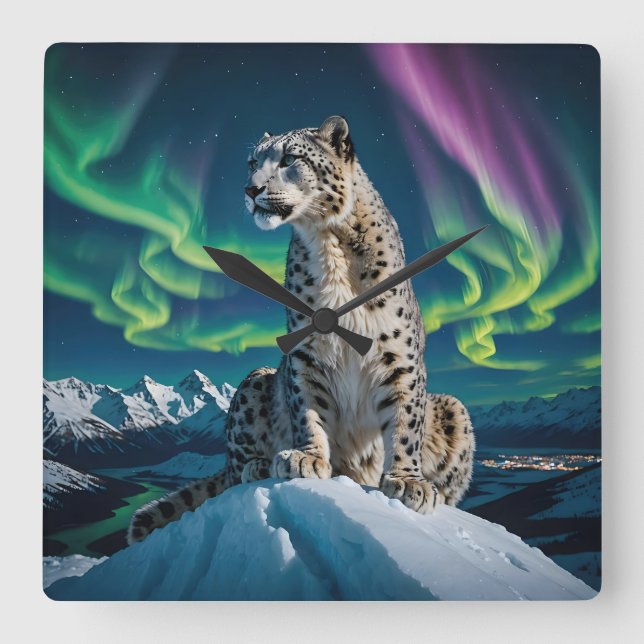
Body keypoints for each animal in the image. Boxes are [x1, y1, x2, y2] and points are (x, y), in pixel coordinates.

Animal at [127, 115, 475, 545]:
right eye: (251, 162)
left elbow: (406, 423)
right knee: (234, 467)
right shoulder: (305, 354)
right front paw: (306, 458)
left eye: (290, 158)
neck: (328, 245)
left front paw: (408, 481)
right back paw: (260, 465)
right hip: (254, 382)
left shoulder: (401, 357)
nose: (250, 189)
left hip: (453, 408)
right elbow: (307, 408)